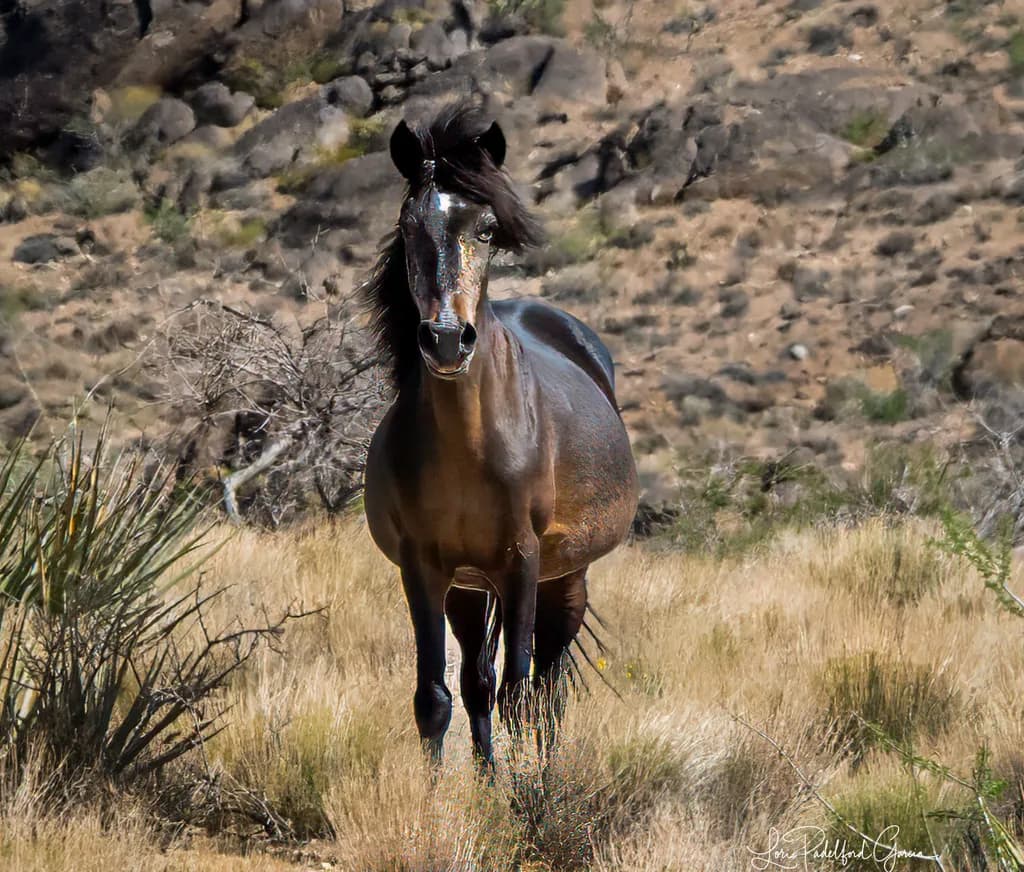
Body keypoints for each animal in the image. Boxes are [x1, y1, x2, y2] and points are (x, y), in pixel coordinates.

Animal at [362, 103, 638, 766]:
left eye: (487, 228)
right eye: (408, 226)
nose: (444, 339)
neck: (471, 445)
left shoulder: (520, 562)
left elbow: (519, 693)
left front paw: (527, 792)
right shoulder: (424, 568)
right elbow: (437, 698)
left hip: (564, 578)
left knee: (545, 684)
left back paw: (547, 769)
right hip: (469, 586)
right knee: (477, 683)